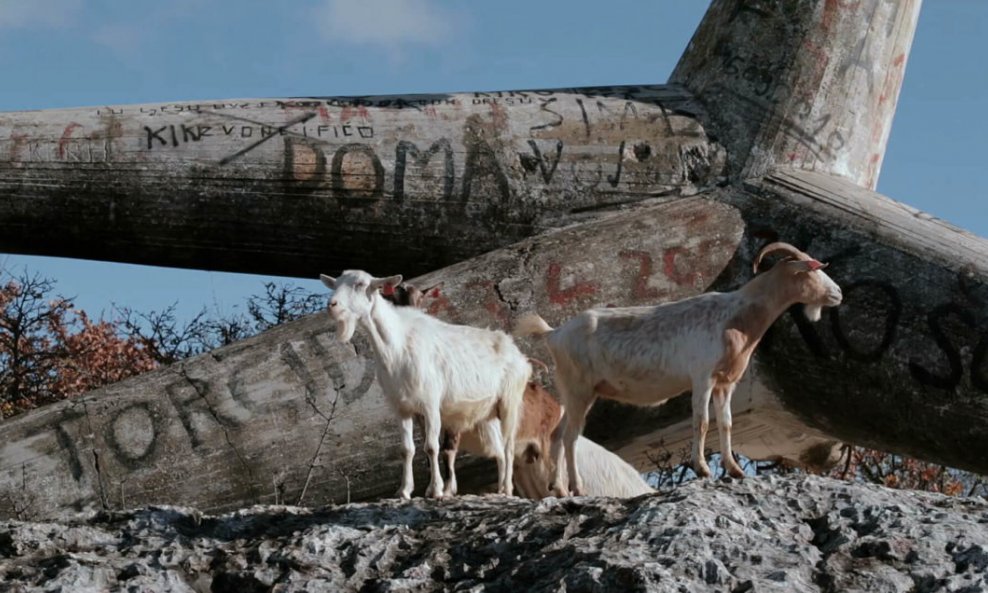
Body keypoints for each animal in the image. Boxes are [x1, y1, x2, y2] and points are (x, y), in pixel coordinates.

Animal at [322, 270, 524, 498]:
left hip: (510, 402)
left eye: (361, 284)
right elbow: (407, 449)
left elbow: (431, 447)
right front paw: (404, 490)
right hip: (488, 413)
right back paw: (500, 490)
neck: (396, 346)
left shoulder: (430, 404)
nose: (332, 305)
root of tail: (514, 349)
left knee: (509, 446)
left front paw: (436, 489)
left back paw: (508, 489)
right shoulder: (401, 407)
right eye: (335, 284)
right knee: (499, 450)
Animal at [512, 240, 844, 494]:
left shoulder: (726, 382)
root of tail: (554, 333)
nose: (838, 294)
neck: (735, 317)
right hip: (579, 389)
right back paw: (577, 487)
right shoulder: (703, 377)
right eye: (813, 270)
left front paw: (735, 470)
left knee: (557, 435)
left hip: (575, 392)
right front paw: (703, 469)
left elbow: (726, 423)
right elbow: (702, 422)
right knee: (570, 437)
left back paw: (559, 489)